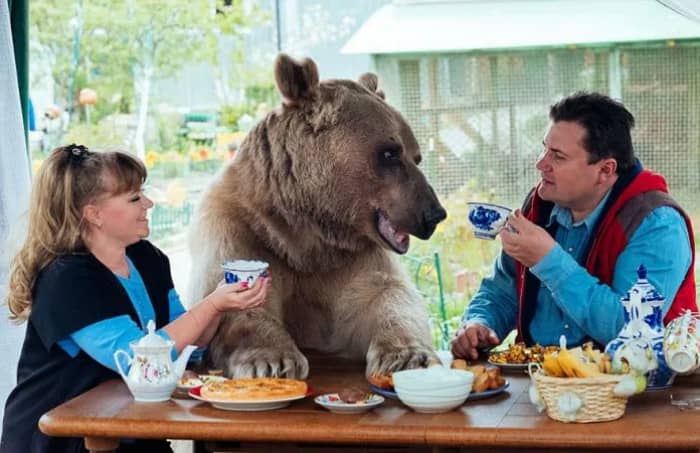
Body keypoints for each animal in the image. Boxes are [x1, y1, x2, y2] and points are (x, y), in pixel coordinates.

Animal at [188, 54, 447, 379]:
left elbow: (387, 295)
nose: (434, 213)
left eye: (416, 156)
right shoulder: (240, 230)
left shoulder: (352, 258)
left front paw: (408, 356)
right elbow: (236, 300)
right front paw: (272, 361)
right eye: (390, 153)